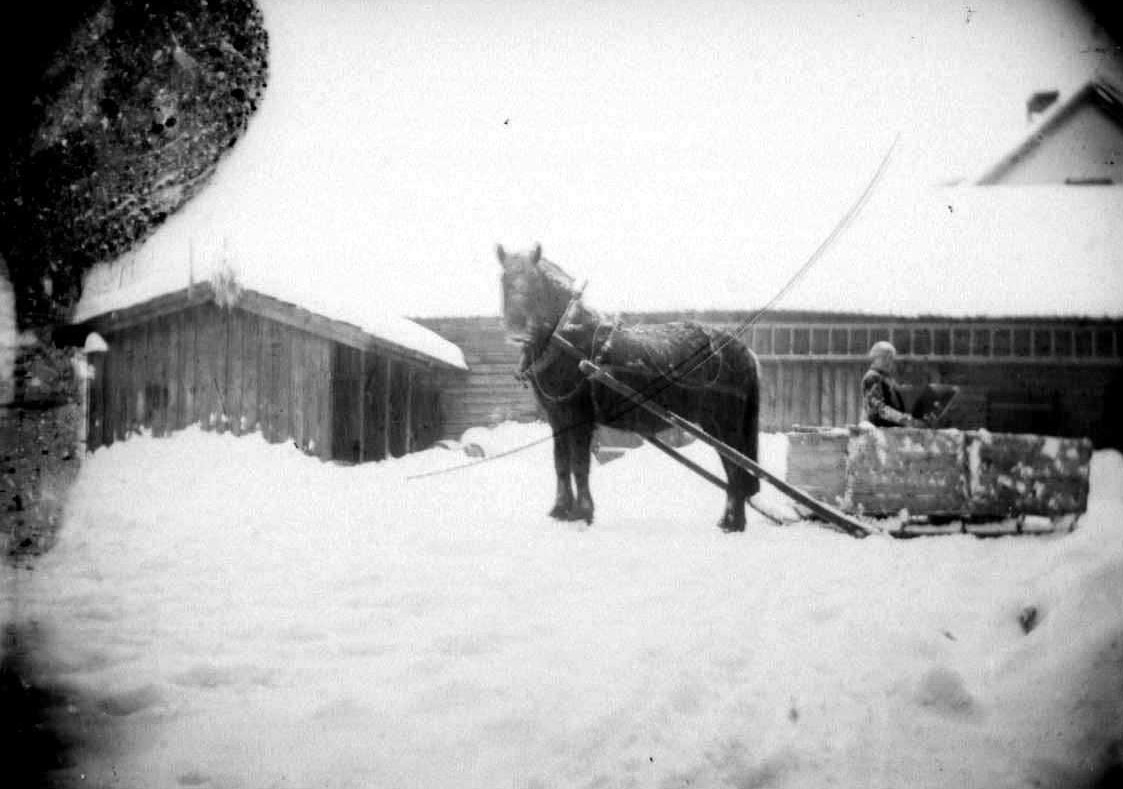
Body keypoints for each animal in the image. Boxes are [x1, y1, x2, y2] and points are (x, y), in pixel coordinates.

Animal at [500, 243, 763, 534]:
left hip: (724, 425)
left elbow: (579, 464)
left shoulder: (579, 418)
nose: (517, 331)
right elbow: (561, 463)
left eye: (534, 281)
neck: (567, 337)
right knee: (734, 471)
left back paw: (734, 524)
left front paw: (583, 513)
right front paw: (561, 510)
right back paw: (730, 521)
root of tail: (745, 352)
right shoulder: (557, 418)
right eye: (504, 280)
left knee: (736, 470)